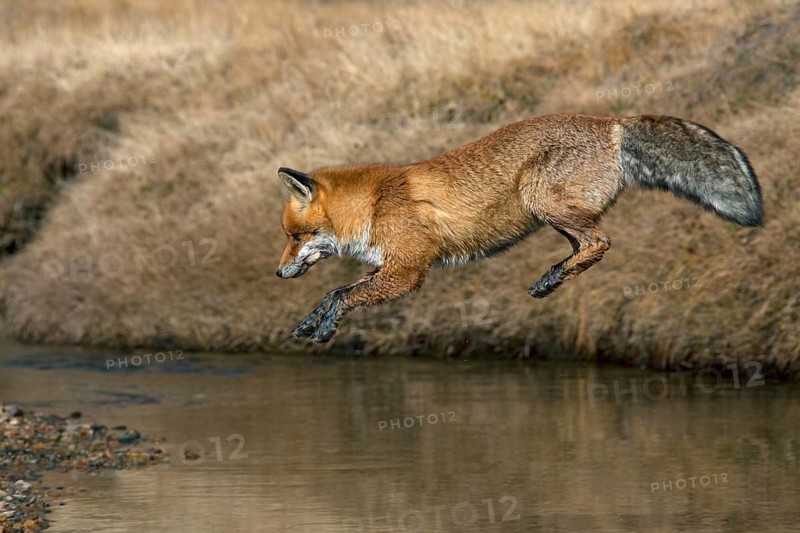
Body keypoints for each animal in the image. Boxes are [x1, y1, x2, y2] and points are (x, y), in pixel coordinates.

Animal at [276, 114, 763, 343]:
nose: (278, 274)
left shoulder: (408, 270)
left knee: (601, 241)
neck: (374, 205)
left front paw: (325, 328)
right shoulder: (386, 266)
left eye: (295, 237)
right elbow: (334, 292)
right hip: (552, 214)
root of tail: (610, 123)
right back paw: (553, 278)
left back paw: (550, 278)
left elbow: (344, 295)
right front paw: (310, 325)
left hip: (539, 199)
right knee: (588, 244)